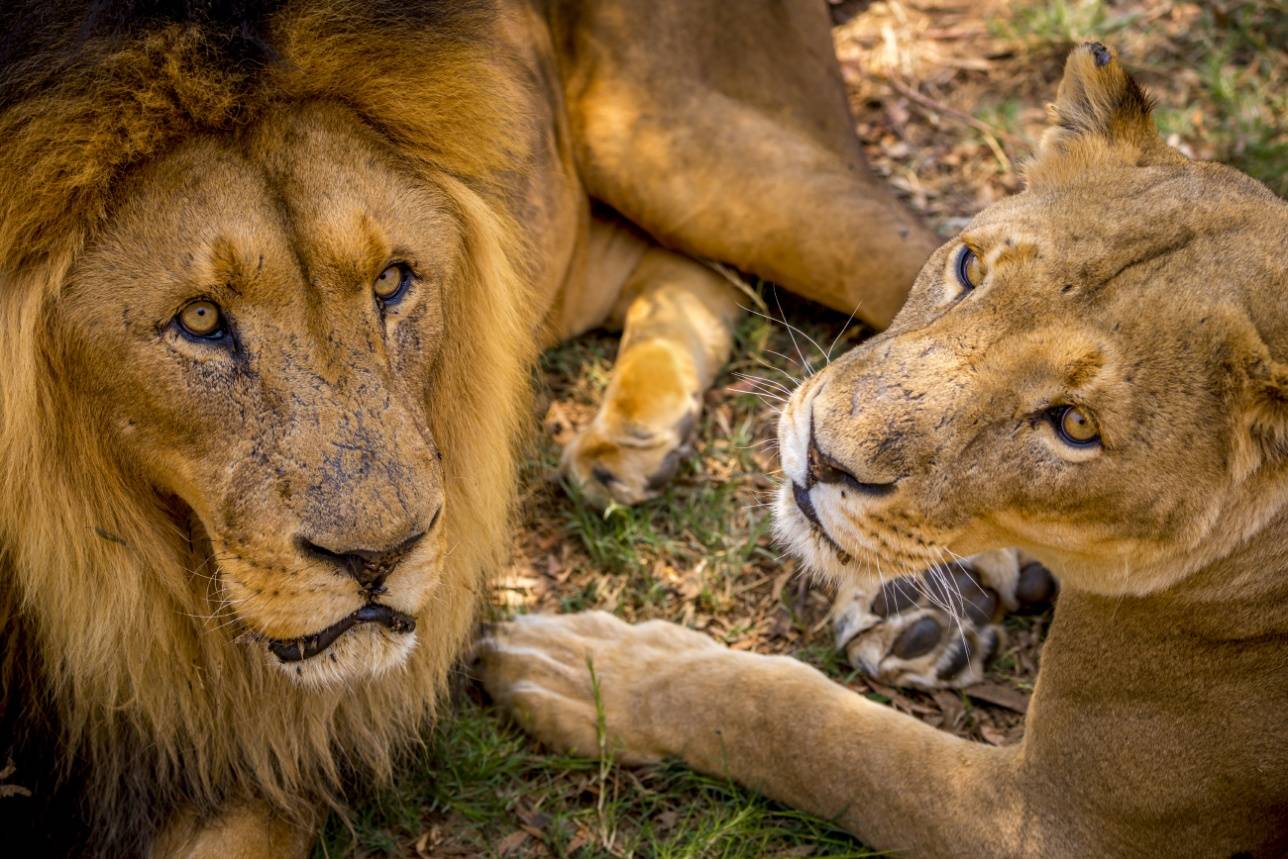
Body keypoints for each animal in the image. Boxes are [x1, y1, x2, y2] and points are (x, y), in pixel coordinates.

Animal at [0, 0, 932, 855]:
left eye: (391, 280)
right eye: (198, 319)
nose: (379, 558)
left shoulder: (257, 752)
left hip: (685, 147)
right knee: (688, 271)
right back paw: (632, 446)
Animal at [481, 43, 1288, 855]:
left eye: (1076, 426)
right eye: (969, 267)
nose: (820, 455)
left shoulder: (1055, 824)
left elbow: (802, 722)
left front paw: (592, 670)